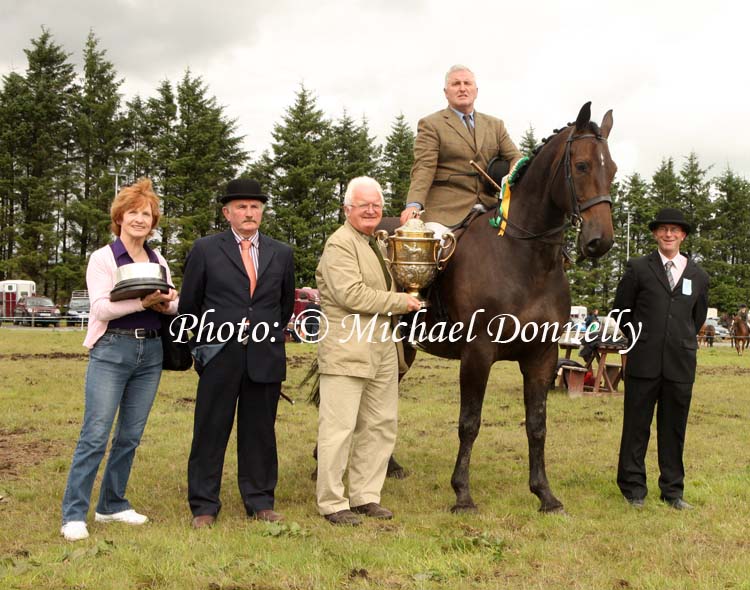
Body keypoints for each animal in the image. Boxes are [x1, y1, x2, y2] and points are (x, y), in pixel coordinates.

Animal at [400, 103, 616, 512]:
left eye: (611, 168)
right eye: (581, 166)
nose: (601, 241)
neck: (523, 256)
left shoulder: (542, 355)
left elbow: (537, 424)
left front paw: (544, 493)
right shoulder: (478, 354)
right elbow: (469, 422)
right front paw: (463, 494)